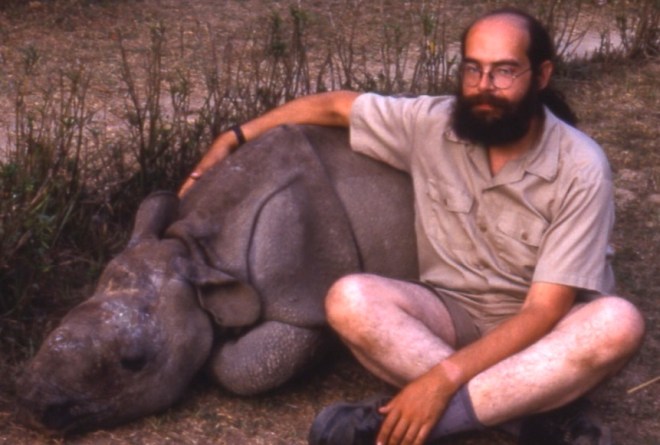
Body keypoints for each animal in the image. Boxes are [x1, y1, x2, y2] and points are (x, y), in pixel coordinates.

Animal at [17, 124, 418, 433]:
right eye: (62, 321)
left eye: (135, 362)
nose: (37, 407)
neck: (199, 254)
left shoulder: (300, 301)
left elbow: (254, 365)